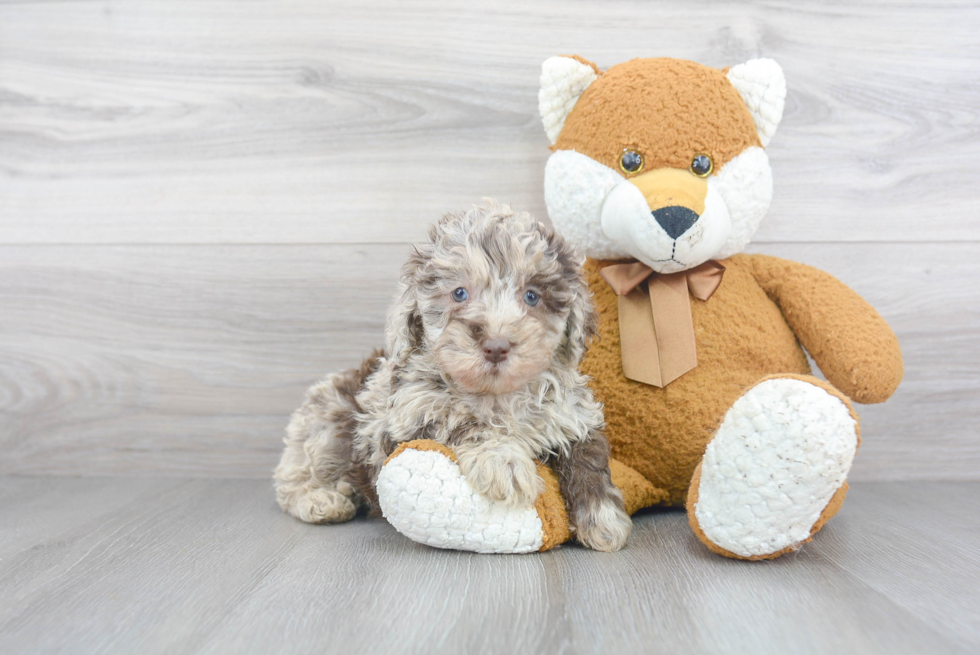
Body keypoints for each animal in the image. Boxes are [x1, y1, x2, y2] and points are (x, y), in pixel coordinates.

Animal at [272, 202, 632, 552]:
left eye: (532, 296)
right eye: (459, 293)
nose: (496, 346)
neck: (497, 395)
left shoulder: (572, 415)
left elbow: (589, 456)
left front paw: (604, 521)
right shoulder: (402, 422)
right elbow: (460, 421)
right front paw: (503, 460)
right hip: (327, 421)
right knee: (295, 477)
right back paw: (322, 500)